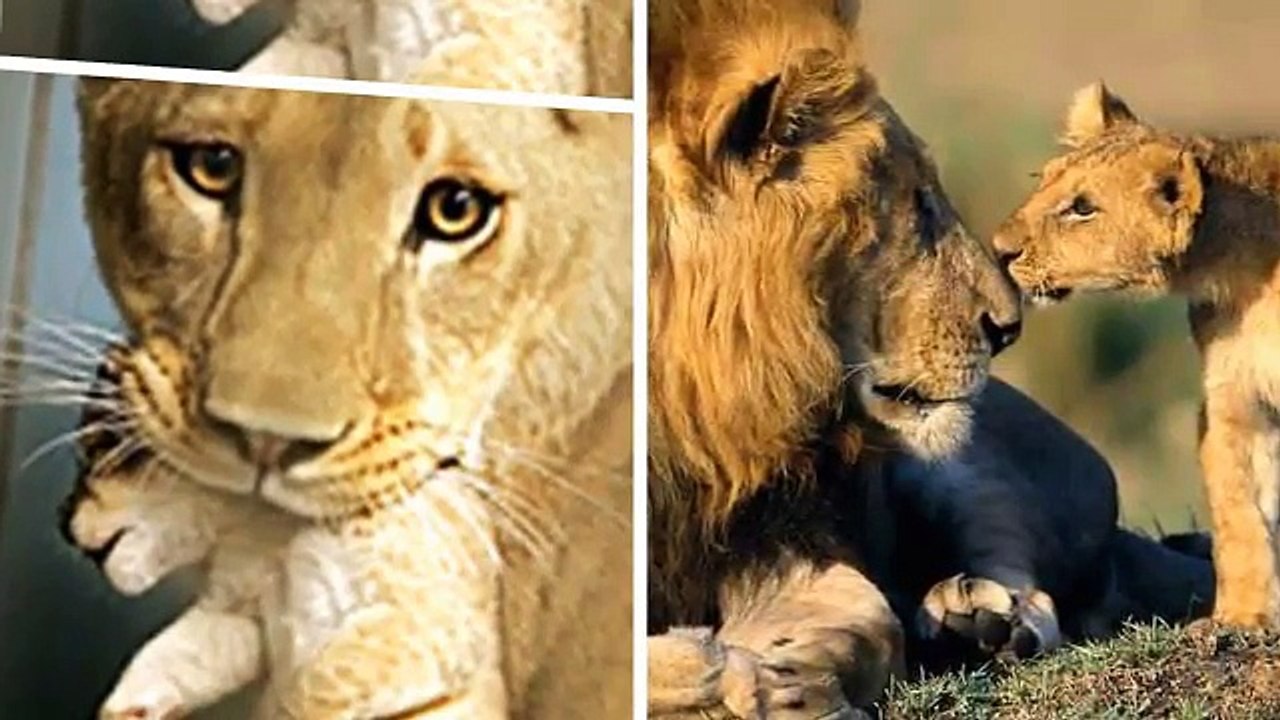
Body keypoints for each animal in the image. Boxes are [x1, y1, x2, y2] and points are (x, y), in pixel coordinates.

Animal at [62, 79, 632, 718]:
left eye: (109, 448)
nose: (65, 528)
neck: (262, 533)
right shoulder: (241, 615)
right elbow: (173, 656)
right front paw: (124, 707)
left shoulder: (418, 628)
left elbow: (314, 691)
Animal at [648, 1, 1216, 716]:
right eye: (916, 203)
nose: (1006, 328)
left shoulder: (797, 544)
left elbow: (868, 623)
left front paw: (779, 682)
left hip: (970, 459)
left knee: (1025, 573)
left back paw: (980, 620)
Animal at [993, 81, 1280, 629]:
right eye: (1044, 181)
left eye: (1082, 208)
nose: (998, 251)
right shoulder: (1235, 401)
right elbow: (1239, 513)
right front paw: (1240, 618)